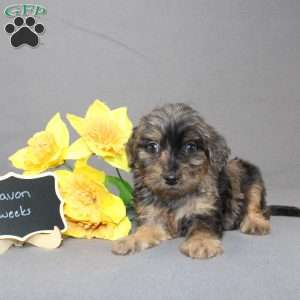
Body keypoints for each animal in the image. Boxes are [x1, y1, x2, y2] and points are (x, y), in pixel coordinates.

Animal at [113, 102, 300, 258]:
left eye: (190, 147)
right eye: (152, 147)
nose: (171, 178)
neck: (175, 197)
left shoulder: (205, 210)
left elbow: (202, 228)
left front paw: (201, 243)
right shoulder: (152, 216)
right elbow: (146, 229)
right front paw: (130, 240)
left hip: (247, 173)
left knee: (255, 206)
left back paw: (256, 222)